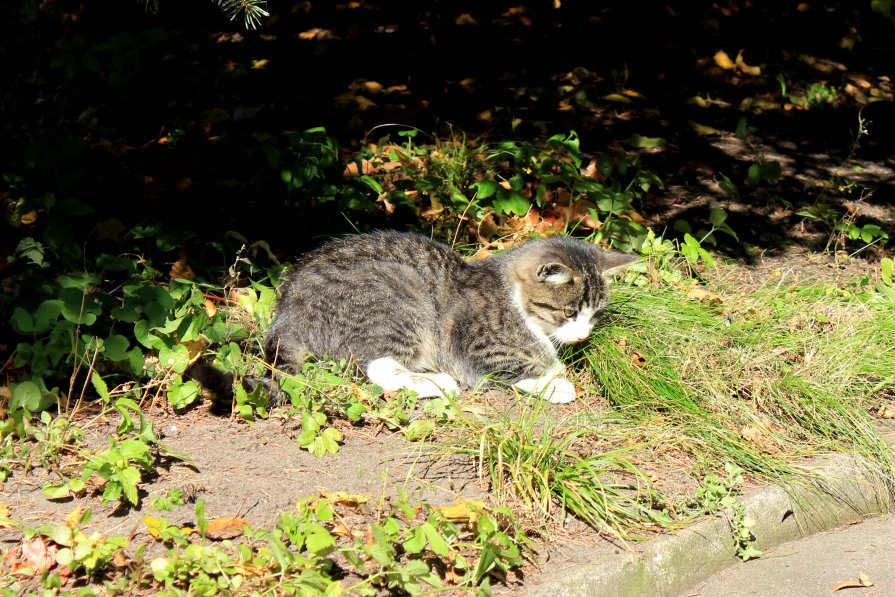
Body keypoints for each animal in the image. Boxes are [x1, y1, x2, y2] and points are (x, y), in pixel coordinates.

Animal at [266, 230, 636, 402]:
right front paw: (555, 383)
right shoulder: (475, 345)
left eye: (595, 315)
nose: (584, 335)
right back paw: (436, 382)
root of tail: (286, 312)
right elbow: (517, 366)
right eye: (569, 312)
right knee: (375, 366)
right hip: (397, 297)